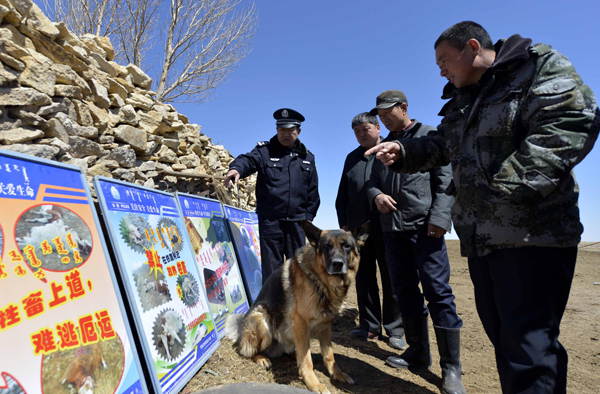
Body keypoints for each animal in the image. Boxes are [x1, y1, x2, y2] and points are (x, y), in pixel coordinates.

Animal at [225, 223, 366, 392]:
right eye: (327, 246)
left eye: (347, 246)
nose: (337, 264)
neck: (321, 281)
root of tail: (240, 331)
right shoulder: (300, 322)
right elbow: (306, 360)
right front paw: (314, 383)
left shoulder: (325, 325)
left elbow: (329, 355)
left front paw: (337, 374)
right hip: (262, 317)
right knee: (246, 350)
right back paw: (261, 358)